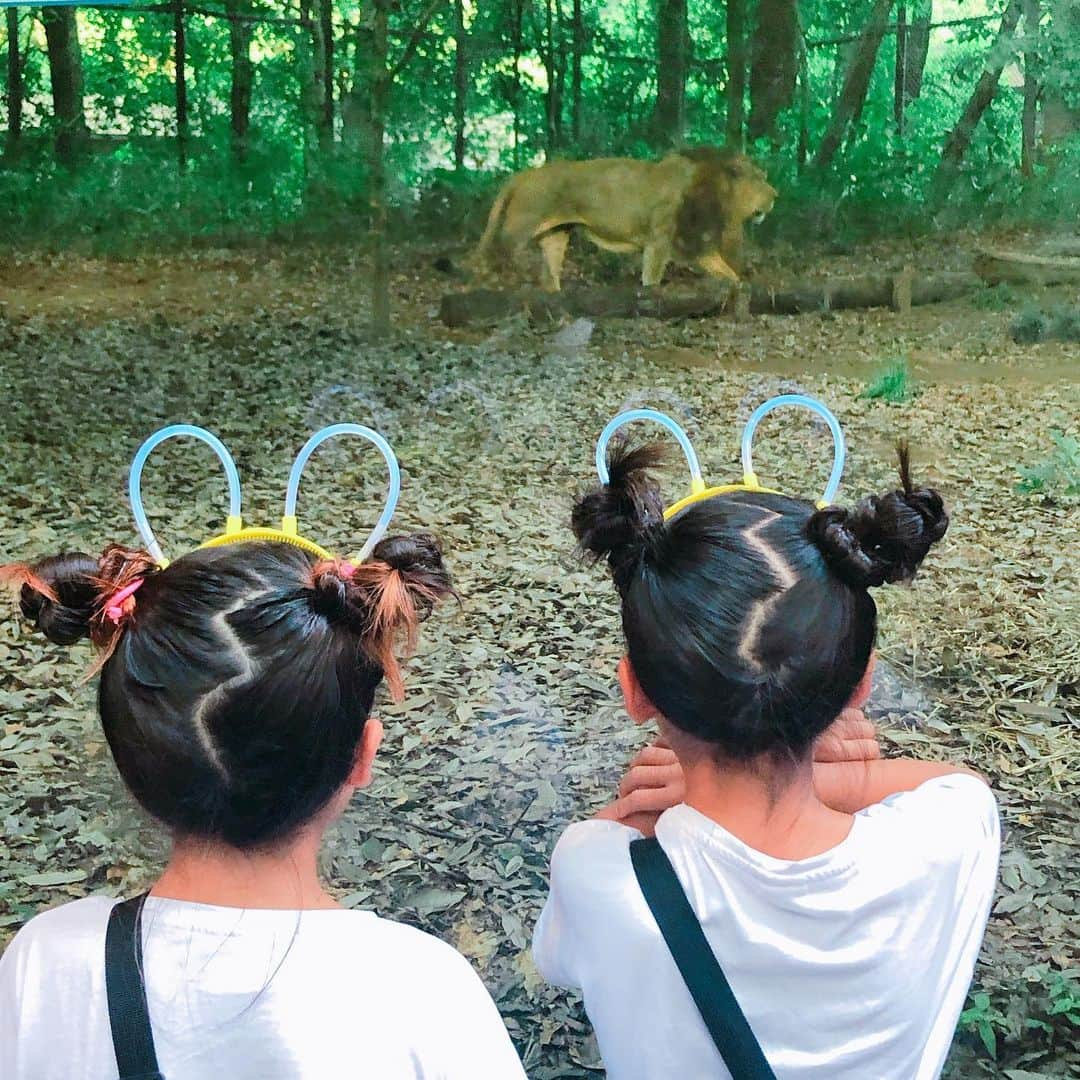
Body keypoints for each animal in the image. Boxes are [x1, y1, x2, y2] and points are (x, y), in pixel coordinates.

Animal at [473, 147, 777, 293]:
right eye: (760, 179)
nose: (776, 195)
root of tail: (523, 174)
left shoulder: (697, 246)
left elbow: (732, 276)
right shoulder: (658, 242)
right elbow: (651, 281)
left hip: (555, 237)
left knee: (549, 277)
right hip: (516, 231)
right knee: (488, 260)